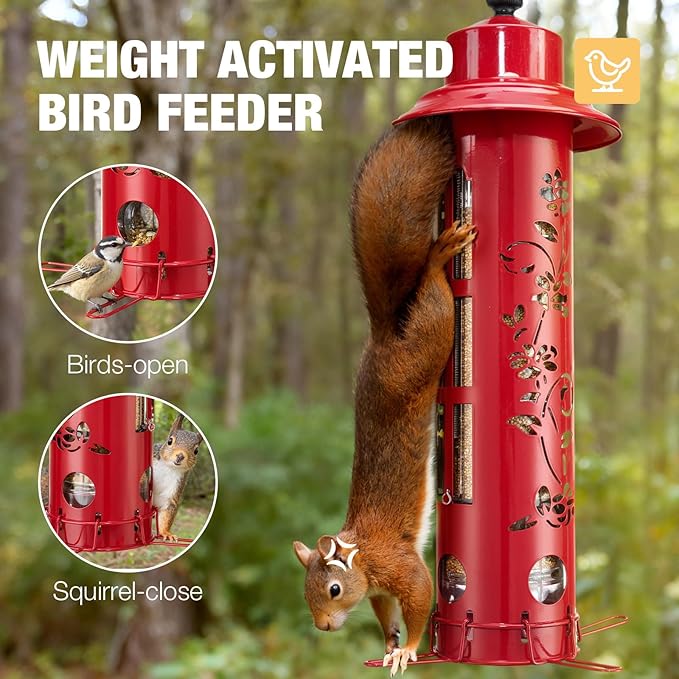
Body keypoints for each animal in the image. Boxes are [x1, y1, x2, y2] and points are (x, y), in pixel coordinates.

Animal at [293, 117, 476, 675]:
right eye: (305, 593)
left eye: (333, 589)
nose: (324, 628)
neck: (364, 557)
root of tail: (383, 335)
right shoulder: (376, 589)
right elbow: (383, 608)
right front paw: (389, 638)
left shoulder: (399, 564)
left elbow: (419, 594)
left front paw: (410, 648)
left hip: (430, 342)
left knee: (435, 296)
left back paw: (439, 258)